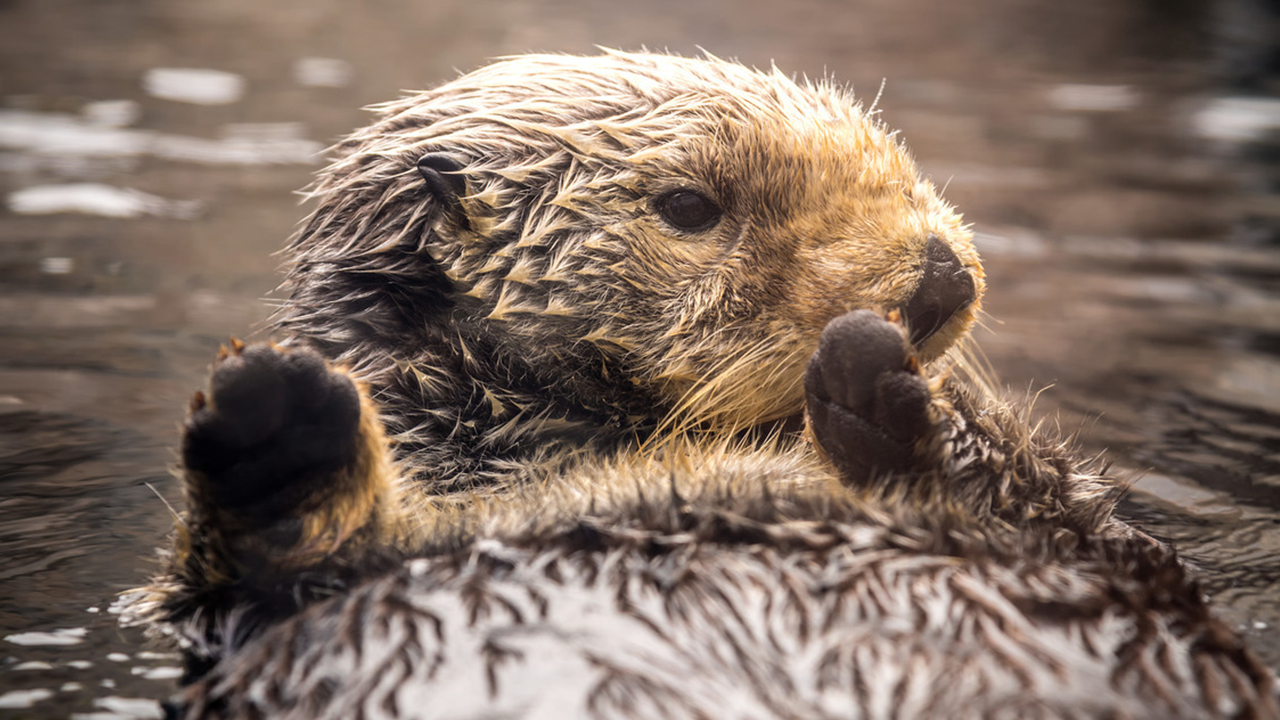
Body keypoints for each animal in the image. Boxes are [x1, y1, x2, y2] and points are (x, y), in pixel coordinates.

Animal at [127, 51, 1277, 719]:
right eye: (688, 206)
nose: (940, 277)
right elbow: (206, 594)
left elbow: (1114, 530)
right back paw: (279, 430)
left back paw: (876, 399)